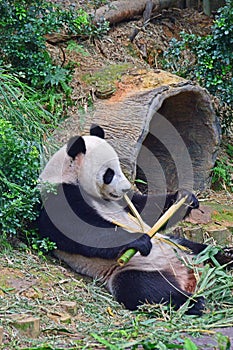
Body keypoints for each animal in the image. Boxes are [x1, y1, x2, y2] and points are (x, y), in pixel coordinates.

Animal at [38, 124, 233, 316]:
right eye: (109, 173)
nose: (125, 188)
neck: (67, 175)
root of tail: (188, 274)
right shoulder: (58, 198)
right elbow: (83, 232)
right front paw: (139, 241)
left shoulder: (123, 202)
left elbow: (145, 209)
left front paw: (184, 198)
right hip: (134, 268)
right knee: (146, 288)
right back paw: (193, 302)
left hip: (180, 246)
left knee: (204, 251)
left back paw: (226, 256)